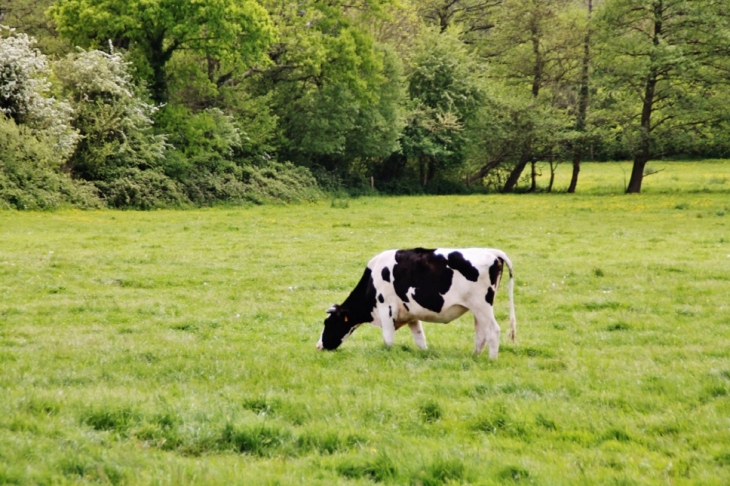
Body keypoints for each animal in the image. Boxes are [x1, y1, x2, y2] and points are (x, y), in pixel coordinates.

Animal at [316, 249, 516, 358]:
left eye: (329, 323)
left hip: (482, 306)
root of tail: (491, 252)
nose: (318, 346)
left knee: (493, 331)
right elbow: (420, 339)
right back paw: (474, 356)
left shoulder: (386, 308)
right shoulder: (411, 314)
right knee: (481, 334)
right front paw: (425, 354)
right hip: (477, 309)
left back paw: (492, 359)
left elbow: (388, 339)